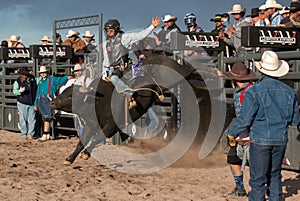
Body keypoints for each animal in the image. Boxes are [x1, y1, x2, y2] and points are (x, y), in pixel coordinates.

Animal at [50, 53, 213, 165]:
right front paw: (69, 159)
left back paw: (212, 73)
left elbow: (97, 138)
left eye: (71, 96)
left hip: (175, 74)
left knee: (189, 68)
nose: (53, 103)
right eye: (64, 91)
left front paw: (85, 154)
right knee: (191, 73)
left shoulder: (111, 127)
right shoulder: (91, 125)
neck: (96, 100)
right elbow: (81, 142)